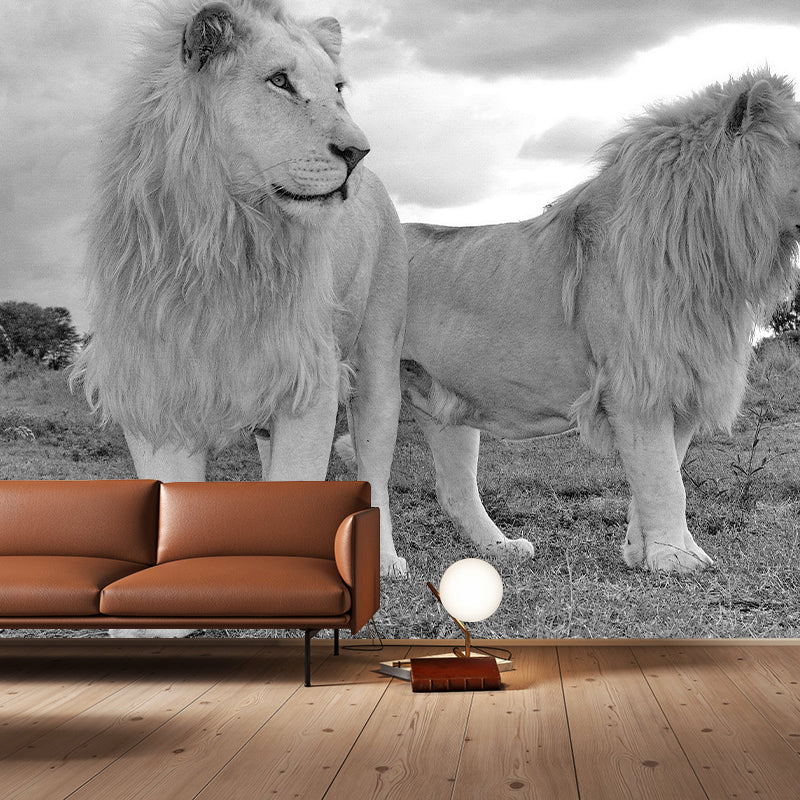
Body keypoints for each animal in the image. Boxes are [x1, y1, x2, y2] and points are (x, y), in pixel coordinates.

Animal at [71, 0, 409, 621]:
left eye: (337, 89)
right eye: (279, 81)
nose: (358, 152)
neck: (223, 238)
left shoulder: (310, 378)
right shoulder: (155, 382)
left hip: (378, 354)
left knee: (374, 461)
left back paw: (388, 559)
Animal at [394, 70, 800, 573]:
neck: (711, 255)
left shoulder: (683, 378)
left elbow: (659, 475)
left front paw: (649, 553)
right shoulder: (634, 384)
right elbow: (666, 482)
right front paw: (674, 560)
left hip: (441, 401)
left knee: (453, 490)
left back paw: (502, 549)